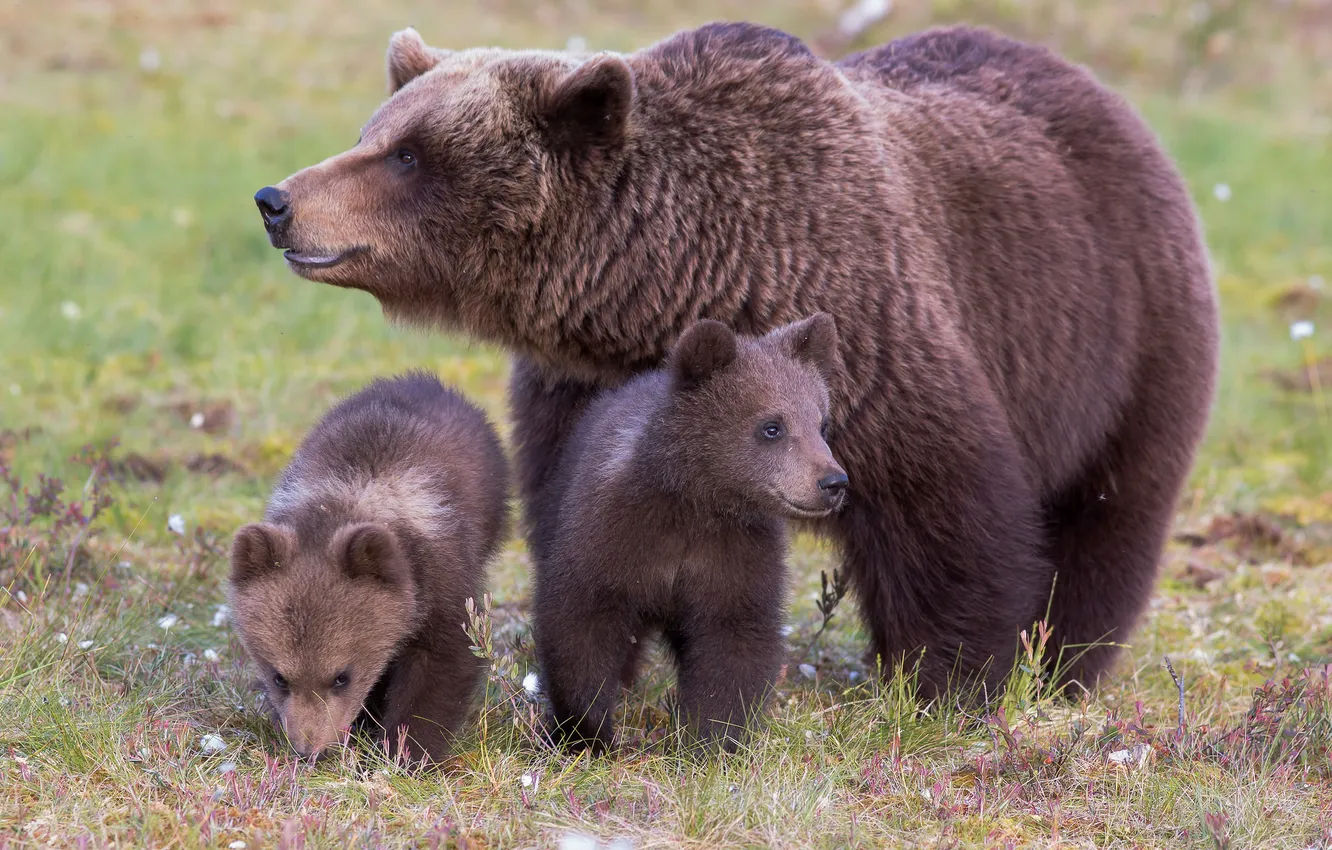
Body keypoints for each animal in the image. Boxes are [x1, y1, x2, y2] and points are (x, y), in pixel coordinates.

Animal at [228, 371, 509, 763]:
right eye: (279, 676)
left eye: (341, 675)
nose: (310, 749)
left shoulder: (440, 577)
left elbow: (445, 659)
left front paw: (407, 751)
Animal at [252, 22, 1220, 700]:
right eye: (374, 132)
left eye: (408, 155)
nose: (276, 199)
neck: (669, 280)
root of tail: (1108, 99)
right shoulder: (579, 389)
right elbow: (580, 526)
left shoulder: (868, 329)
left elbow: (948, 507)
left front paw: (948, 681)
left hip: (1120, 330)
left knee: (1108, 515)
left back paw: (1063, 665)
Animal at [532, 313, 847, 753]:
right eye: (772, 427)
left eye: (821, 422)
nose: (833, 482)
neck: (697, 501)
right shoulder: (613, 537)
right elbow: (580, 622)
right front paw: (586, 733)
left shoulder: (736, 551)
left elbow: (735, 638)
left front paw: (710, 739)